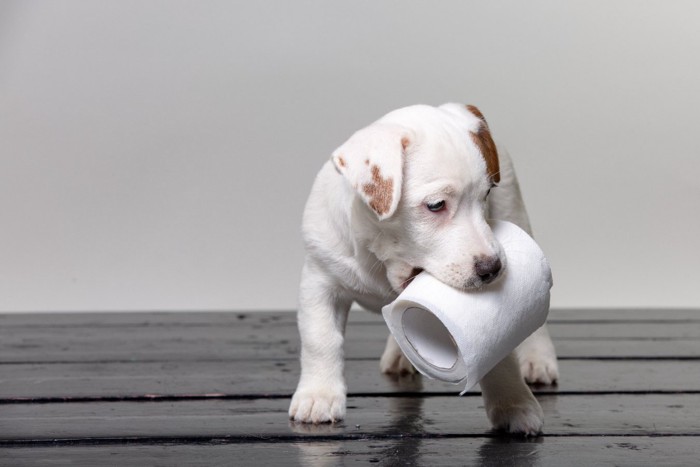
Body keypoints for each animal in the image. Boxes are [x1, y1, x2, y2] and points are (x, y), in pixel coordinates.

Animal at [288, 102, 556, 436]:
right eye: (436, 205)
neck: (382, 260)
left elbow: (500, 355)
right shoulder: (320, 279)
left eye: (485, 196)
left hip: (515, 211)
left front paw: (513, 403)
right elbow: (321, 339)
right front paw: (318, 396)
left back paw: (538, 358)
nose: (493, 268)